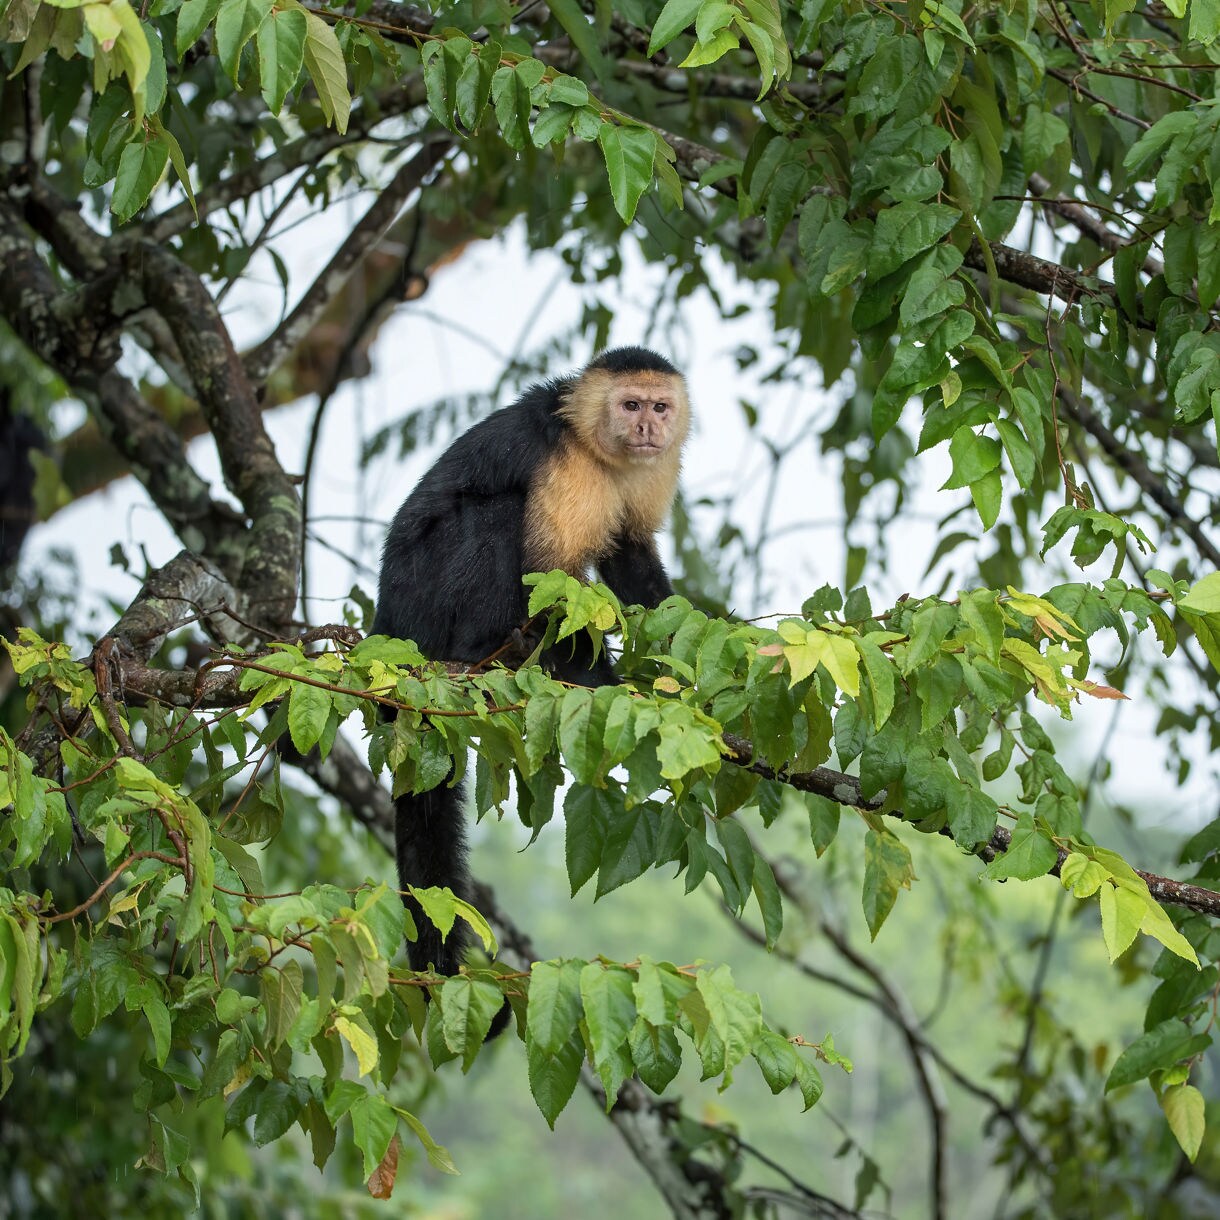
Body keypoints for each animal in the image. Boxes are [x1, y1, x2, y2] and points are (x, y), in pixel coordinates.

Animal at [373, 347, 689, 980]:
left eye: (660, 407)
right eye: (631, 405)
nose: (649, 428)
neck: (601, 450)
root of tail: (385, 621)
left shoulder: (651, 471)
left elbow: (631, 556)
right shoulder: (567, 467)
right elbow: (544, 579)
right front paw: (609, 684)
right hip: (419, 599)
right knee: (495, 512)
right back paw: (480, 649)